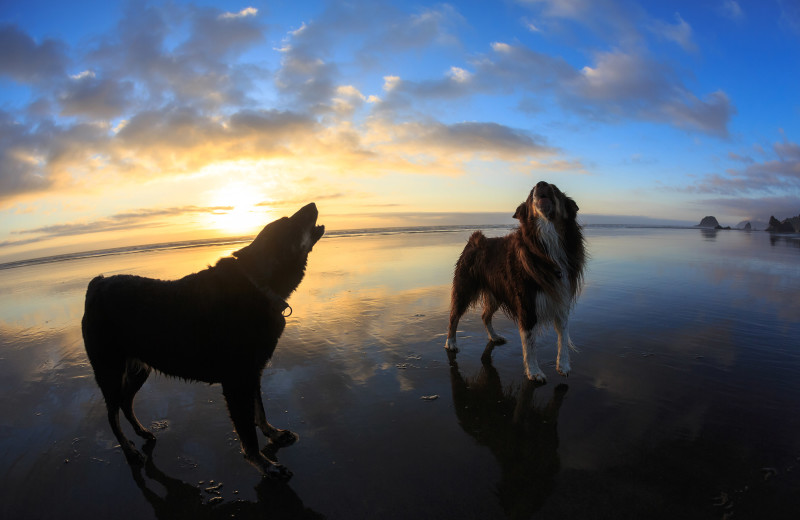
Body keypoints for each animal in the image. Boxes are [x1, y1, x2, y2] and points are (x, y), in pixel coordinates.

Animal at [82, 203, 324, 480]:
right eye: (289, 221)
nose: (312, 205)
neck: (257, 284)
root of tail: (97, 283)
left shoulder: (253, 373)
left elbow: (259, 412)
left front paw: (274, 434)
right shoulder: (237, 380)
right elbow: (248, 433)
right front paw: (266, 465)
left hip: (138, 369)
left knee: (125, 402)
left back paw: (142, 432)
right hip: (109, 371)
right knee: (112, 414)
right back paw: (129, 450)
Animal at [444, 183, 588, 382]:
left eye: (554, 188)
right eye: (531, 192)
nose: (541, 183)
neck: (547, 241)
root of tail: (475, 239)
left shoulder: (561, 298)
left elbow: (563, 336)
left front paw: (563, 365)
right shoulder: (526, 304)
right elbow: (529, 342)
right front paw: (534, 372)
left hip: (495, 293)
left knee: (485, 316)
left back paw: (494, 336)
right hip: (465, 287)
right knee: (454, 316)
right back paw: (451, 343)